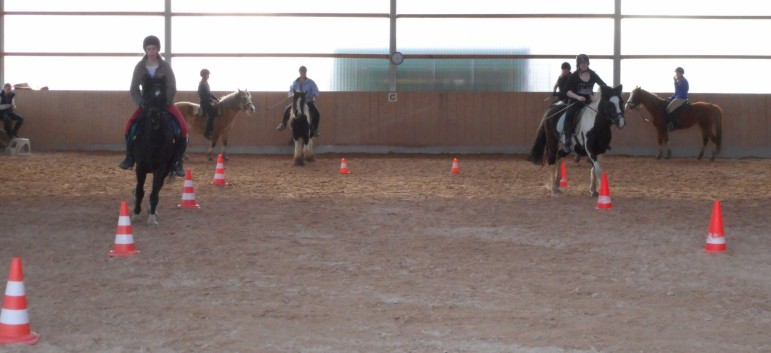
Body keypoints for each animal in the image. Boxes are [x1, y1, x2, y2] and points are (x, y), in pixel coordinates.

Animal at [134, 75, 181, 226]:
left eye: (163, 97)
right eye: (147, 96)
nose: (155, 119)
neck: (153, 141)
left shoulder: (161, 169)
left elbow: (154, 193)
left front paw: (152, 218)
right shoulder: (140, 167)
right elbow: (139, 190)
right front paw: (136, 214)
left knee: (158, 188)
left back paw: (152, 210)